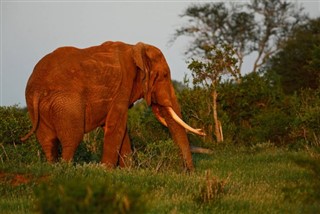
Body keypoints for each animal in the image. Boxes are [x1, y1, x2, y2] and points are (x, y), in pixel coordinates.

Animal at [21, 40, 205, 171]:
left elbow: (120, 129)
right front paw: (107, 170)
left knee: (47, 140)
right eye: (164, 76)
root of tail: (37, 88)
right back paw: (65, 169)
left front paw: (128, 171)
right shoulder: (123, 86)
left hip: (36, 106)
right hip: (66, 103)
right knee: (72, 138)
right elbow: (117, 125)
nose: (188, 172)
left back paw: (52, 168)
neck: (135, 49)